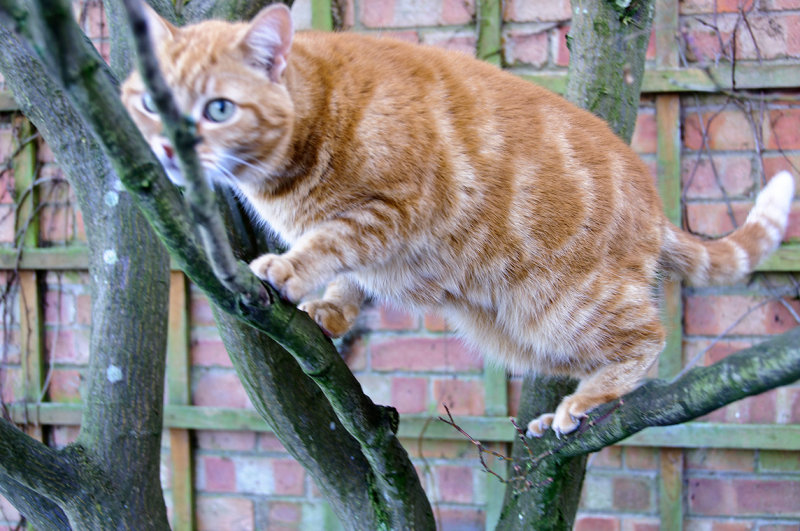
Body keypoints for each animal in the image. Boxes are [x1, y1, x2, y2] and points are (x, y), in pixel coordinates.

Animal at [122, 3, 796, 436]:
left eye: (218, 109)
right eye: (151, 101)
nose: (168, 149)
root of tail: (656, 206)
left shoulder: (391, 209)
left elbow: (331, 242)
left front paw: (289, 270)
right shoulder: (378, 244)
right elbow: (350, 276)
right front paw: (330, 310)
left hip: (564, 308)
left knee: (648, 341)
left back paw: (586, 402)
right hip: (522, 333)